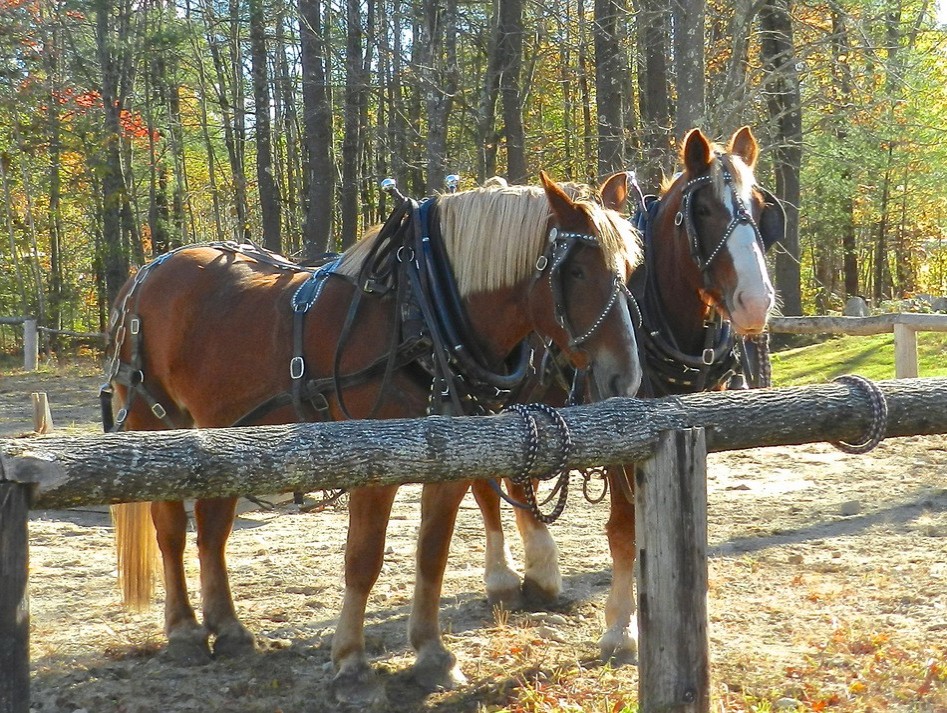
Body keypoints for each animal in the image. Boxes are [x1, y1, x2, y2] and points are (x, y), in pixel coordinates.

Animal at [109, 172, 644, 708]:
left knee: (212, 528)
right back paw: (184, 631)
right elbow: (363, 560)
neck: (418, 315)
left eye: (629, 269)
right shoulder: (372, 467)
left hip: (226, 437)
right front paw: (351, 664)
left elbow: (433, 555)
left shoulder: (448, 467)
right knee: (170, 528)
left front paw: (432, 656)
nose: (626, 378)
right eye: (576, 271)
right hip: (154, 424)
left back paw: (229, 629)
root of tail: (143, 275)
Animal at [468, 126, 784, 660]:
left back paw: (540, 569)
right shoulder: (619, 430)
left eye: (760, 206)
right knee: (485, 484)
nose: (755, 301)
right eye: (703, 210)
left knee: (517, 481)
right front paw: (622, 624)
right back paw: (504, 575)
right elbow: (623, 528)